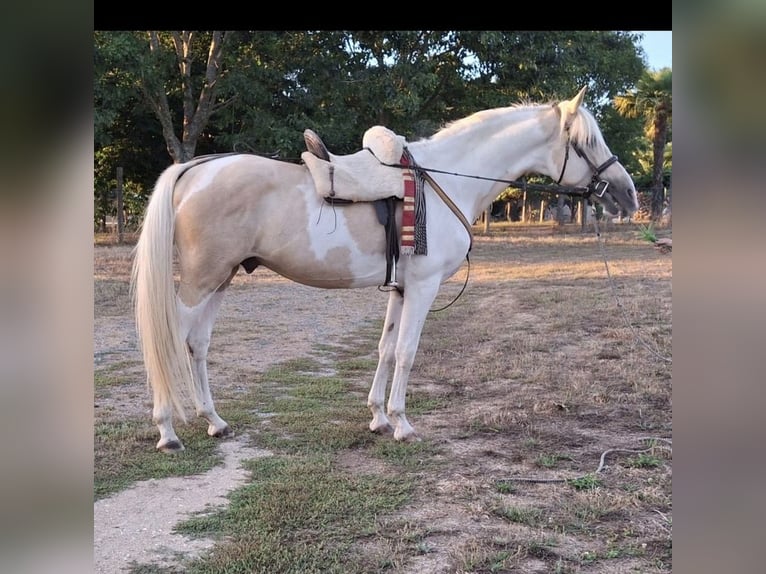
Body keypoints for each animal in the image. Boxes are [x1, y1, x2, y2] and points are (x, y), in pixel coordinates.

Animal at [132, 86, 640, 454]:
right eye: (585, 142)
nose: (626, 195)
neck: (446, 179)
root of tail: (194, 168)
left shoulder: (400, 288)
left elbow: (385, 348)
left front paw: (377, 416)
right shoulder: (423, 287)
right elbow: (407, 352)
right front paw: (402, 423)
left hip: (222, 278)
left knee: (197, 345)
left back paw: (214, 421)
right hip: (200, 282)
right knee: (171, 341)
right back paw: (167, 431)